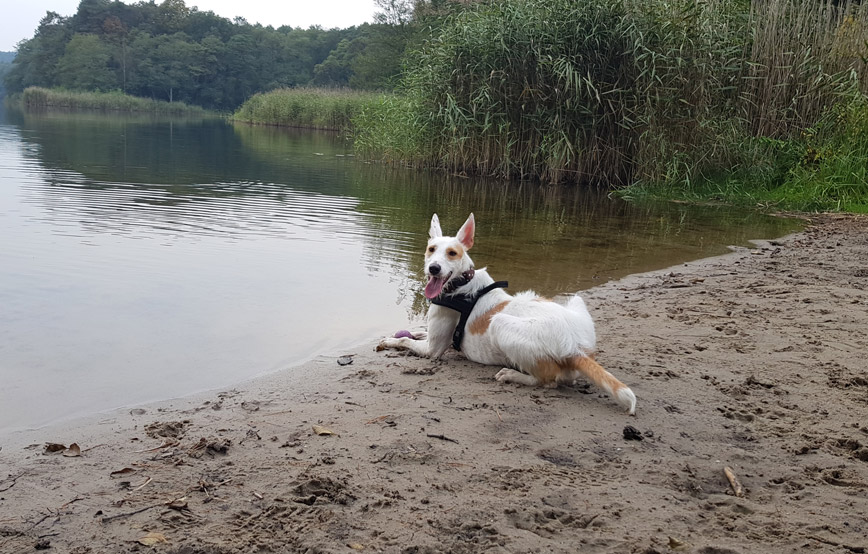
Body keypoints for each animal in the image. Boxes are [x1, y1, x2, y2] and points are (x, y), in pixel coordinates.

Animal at [376, 213, 636, 412]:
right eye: (431, 249)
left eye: (452, 253)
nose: (434, 268)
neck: (461, 284)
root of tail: (576, 347)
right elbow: (417, 333)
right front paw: (410, 333)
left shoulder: (432, 350)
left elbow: (405, 342)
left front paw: (389, 341)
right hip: (575, 301)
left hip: (499, 324)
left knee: (549, 380)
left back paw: (513, 375)